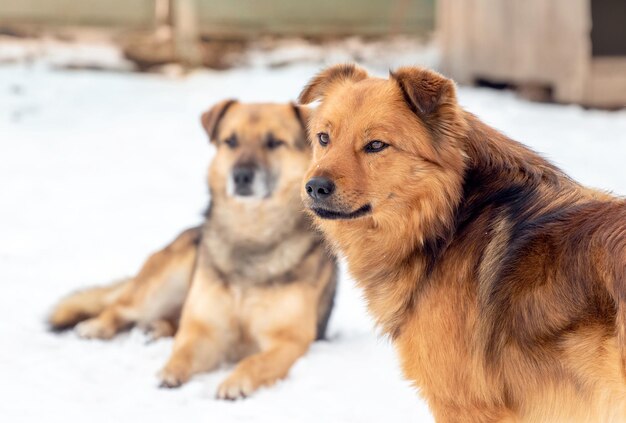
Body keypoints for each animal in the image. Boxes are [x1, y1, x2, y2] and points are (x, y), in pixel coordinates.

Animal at [50, 101, 336, 402]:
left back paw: (155, 329)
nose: (241, 176)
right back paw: (99, 326)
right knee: (121, 307)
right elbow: (184, 351)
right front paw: (170, 371)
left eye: (274, 143)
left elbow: (255, 361)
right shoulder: (206, 329)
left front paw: (236, 381)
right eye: (231, 141)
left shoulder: (288, 340)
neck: (250, 235)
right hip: (163, 282)